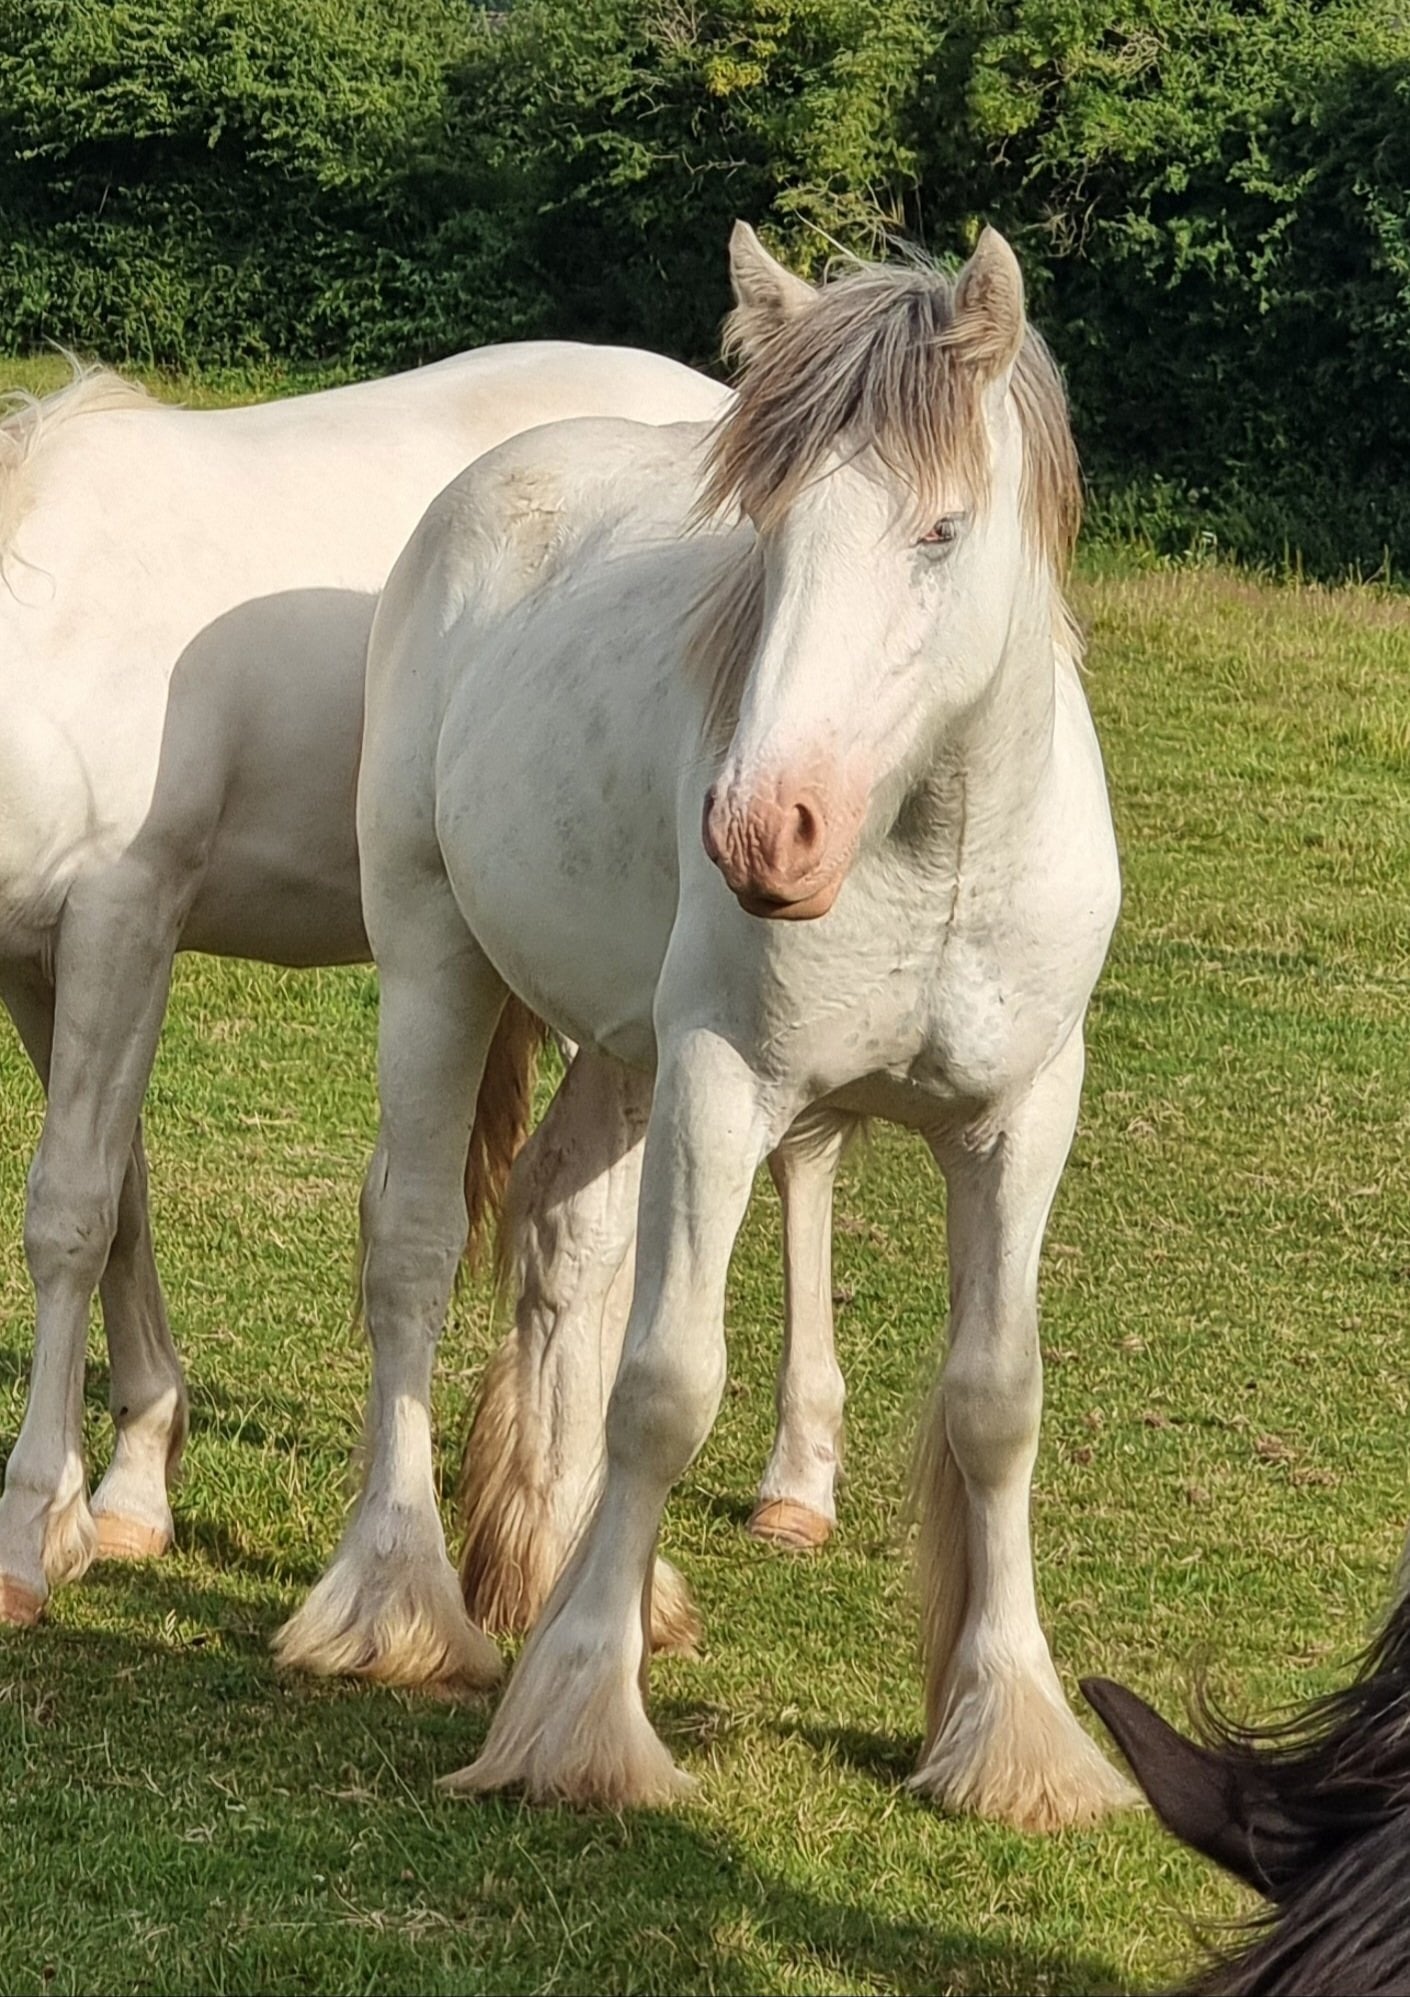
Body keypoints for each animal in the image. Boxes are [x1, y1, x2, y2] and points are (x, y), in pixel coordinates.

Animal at [344, 219, 1135, 1828]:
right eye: (767, 532)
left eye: (940, 532)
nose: (763, 830)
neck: (934, 847)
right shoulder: (723, 1084)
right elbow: (664, 1384)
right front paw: (582, 1722)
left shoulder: (1023, 1118)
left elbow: (995, 1404)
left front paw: (1012, 1734)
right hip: (440, 962)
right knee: (414, 1245)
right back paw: (400, 1609)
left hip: (617, 1053)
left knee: (560, 1236)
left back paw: (557, 1566)